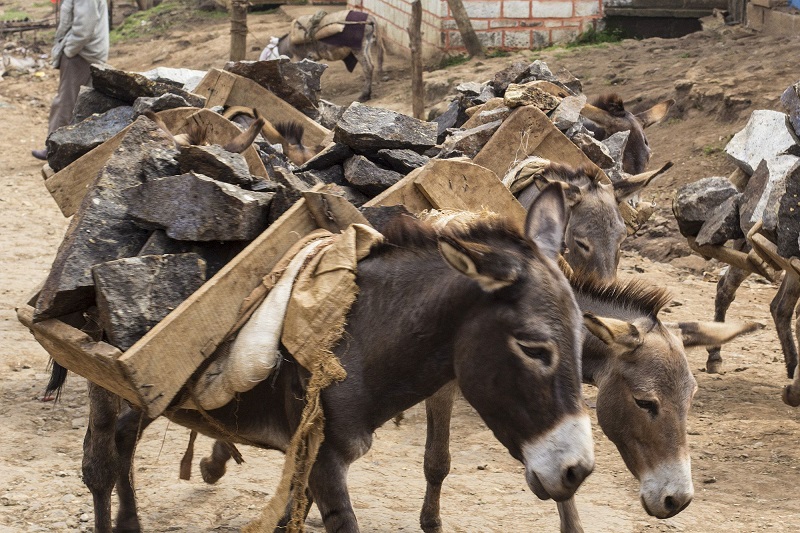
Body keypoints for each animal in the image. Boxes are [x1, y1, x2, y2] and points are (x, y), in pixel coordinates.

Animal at [66, 184, 598, 532]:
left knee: (124, 437)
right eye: (534, 348)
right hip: (108, 380)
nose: (578, 472)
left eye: (580, 340)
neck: (356, 336)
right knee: (100, 461)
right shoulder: (324, 460)